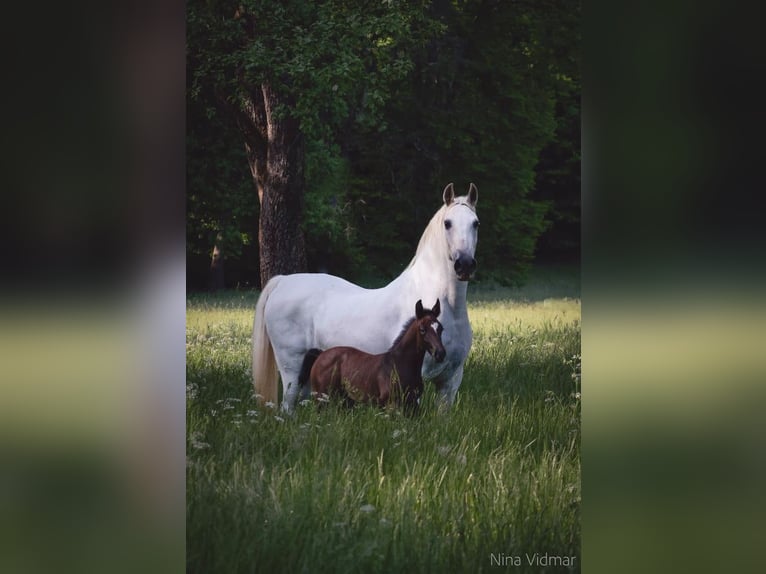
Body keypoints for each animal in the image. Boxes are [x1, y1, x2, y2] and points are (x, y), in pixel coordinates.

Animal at [254, 182, 480, 412]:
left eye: (476, 223)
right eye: (447, 223)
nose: (464, 265)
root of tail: (283, 281)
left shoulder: (450, 381)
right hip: (291, 366)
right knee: (288, 405)